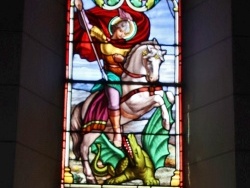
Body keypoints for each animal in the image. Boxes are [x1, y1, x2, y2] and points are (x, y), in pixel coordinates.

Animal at [70, 38, 172, 184]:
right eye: (149, 60)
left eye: (161, 61)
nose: (154, 80)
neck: (135, 82)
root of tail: (83, 105)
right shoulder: (134, 105)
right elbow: (158, 99)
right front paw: (166, 123)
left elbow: (167, 95)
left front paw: (167, 119)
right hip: (93, 131)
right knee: (83, 148)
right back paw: (90, 177)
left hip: (108, 129)